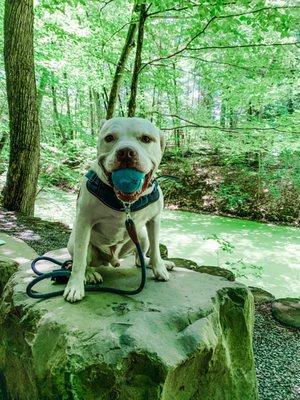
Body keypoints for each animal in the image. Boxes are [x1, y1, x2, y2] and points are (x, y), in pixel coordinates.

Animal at [64, 117, 175, 302]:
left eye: (146, 139)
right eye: (109, 138)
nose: (126, 152)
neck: (126, 204)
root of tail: (113, 260)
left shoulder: (154, 220)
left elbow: (156, 248)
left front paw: (159, 267)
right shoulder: (84, 221)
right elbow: (79, 258)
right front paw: (75, 286)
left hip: (141, 236)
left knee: (140, 257)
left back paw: (150, 263)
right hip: (76, 243)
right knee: (83, 259)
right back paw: (90, 274)